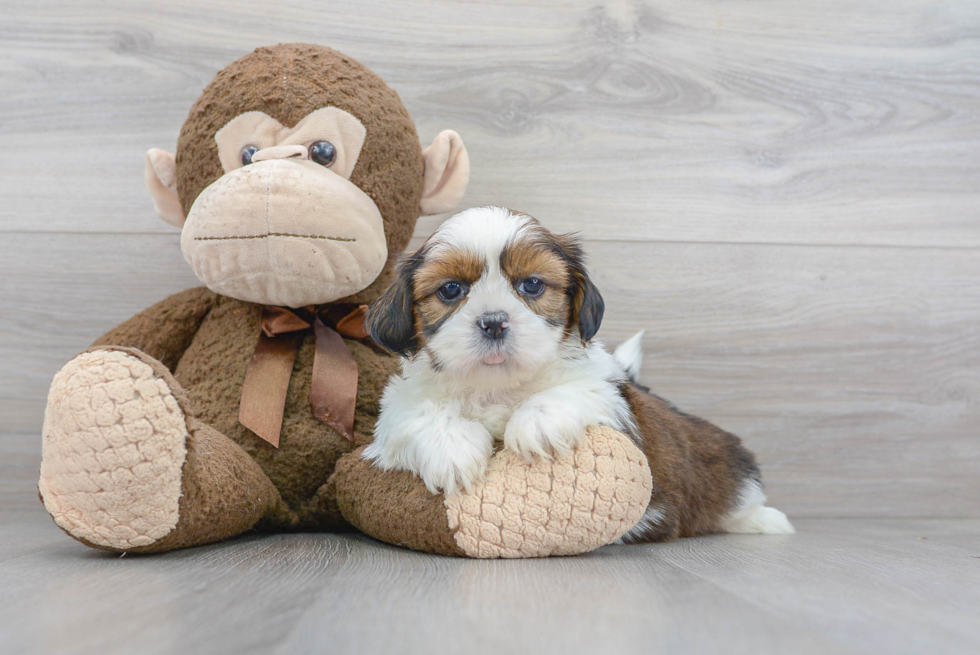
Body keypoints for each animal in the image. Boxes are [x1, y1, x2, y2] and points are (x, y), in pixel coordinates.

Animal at [364, 209, 792, 544]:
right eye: (451, 289)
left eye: (532, 284)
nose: (493, 322)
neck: (498, 388)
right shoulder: (397, 410)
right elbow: (419, 415)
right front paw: (451, 450)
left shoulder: (610, 394)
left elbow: (574, 391)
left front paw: (536, 424)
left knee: (740, 495)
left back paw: (766, 520)